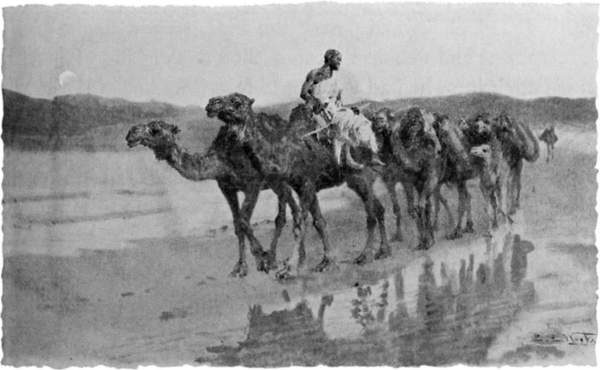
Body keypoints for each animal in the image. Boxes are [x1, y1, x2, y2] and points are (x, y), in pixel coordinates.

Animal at [124, 120, 302, 276]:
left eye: (155, 129)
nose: (130, 134)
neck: (222, 161)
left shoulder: (253, 183)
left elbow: (244, 220)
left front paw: (261, 259)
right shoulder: (227, 188)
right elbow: (238, 224)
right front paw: (240, 268)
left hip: (281, 177)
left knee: (291, 210)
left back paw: (282, 261)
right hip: (278, 181)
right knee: (284, 211)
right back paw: (276, 259)